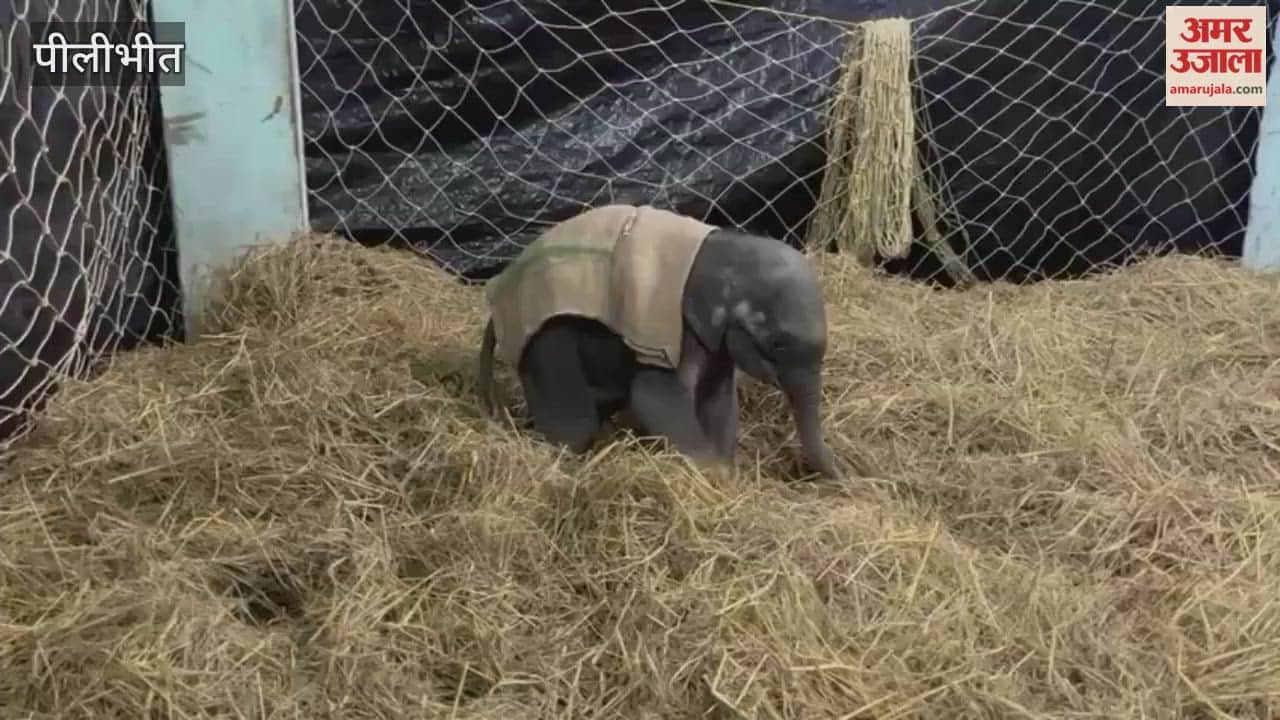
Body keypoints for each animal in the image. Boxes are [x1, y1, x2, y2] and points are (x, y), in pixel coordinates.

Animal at [475, 204, 840, 479]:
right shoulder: (672, 331)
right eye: (778, 344)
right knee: (574, 427)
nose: (844, 475)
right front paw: (716, 475)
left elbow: (718, 398)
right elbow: (654, 396)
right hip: (548, 344)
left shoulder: (712, 339)